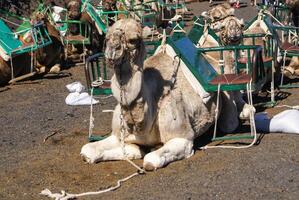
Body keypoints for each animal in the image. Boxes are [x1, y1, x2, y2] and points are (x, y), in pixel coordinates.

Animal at [79, 18, 253, 170]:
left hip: (228, 75)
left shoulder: (183, 138)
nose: (111, 52)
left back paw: (247, 111)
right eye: (107, 38)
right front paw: (135, 150)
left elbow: (151, 160)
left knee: (231, 118)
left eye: (133, 39)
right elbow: (87, 150)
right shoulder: (118, 135)